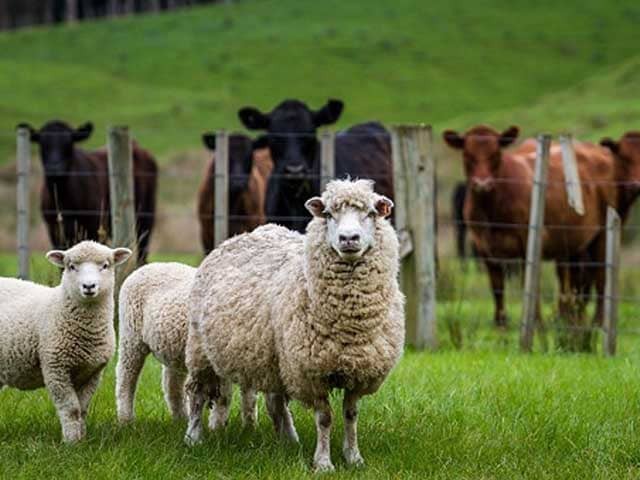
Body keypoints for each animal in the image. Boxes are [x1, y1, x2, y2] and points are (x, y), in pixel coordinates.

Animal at [0, 241, 131, 443]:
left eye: (105, 265)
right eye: (71, 266)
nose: (88, 286)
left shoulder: (92, 372)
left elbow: (82, 409)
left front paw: (82, 439)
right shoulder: (56, 368)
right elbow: (71, 409)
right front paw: (72, 442)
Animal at [116, 262, 258, 428]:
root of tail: (148, 266)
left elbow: (250, 398)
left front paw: (250, 426)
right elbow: (224, 397)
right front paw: (217, 427)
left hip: (173, 347)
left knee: (172, 385)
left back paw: (181, 418)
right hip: (131, 336)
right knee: (126, 377)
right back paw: (126, 419)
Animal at [185, 178, 405, 472]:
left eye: (370, 213)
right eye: (328, 215)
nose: (348, 239)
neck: (349, 324)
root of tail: (241, 235)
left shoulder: (360, 371)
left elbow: (351, 415)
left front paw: (353, 457)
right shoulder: (311, 372)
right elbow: (324, 418)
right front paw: (323, 463)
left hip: (274, 358)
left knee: (276, 401)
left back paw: (289, 440)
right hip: (201, 350)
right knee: (197, 394)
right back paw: (193, 437)